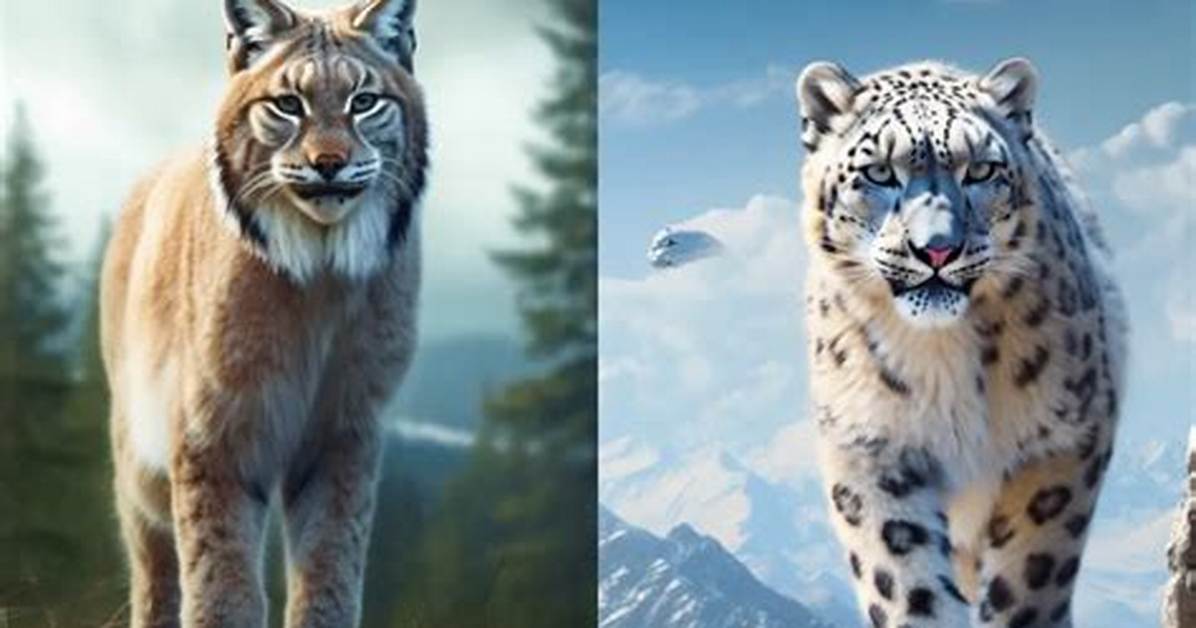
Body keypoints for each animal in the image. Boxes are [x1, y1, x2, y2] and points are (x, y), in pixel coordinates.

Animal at [795, 57, 1127, 627]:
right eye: (879, 172)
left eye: (982, 171)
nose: (936, 249)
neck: (937, 352)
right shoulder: (871, 445)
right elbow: (902, 574)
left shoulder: (1062, 435)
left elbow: (1030, 570)